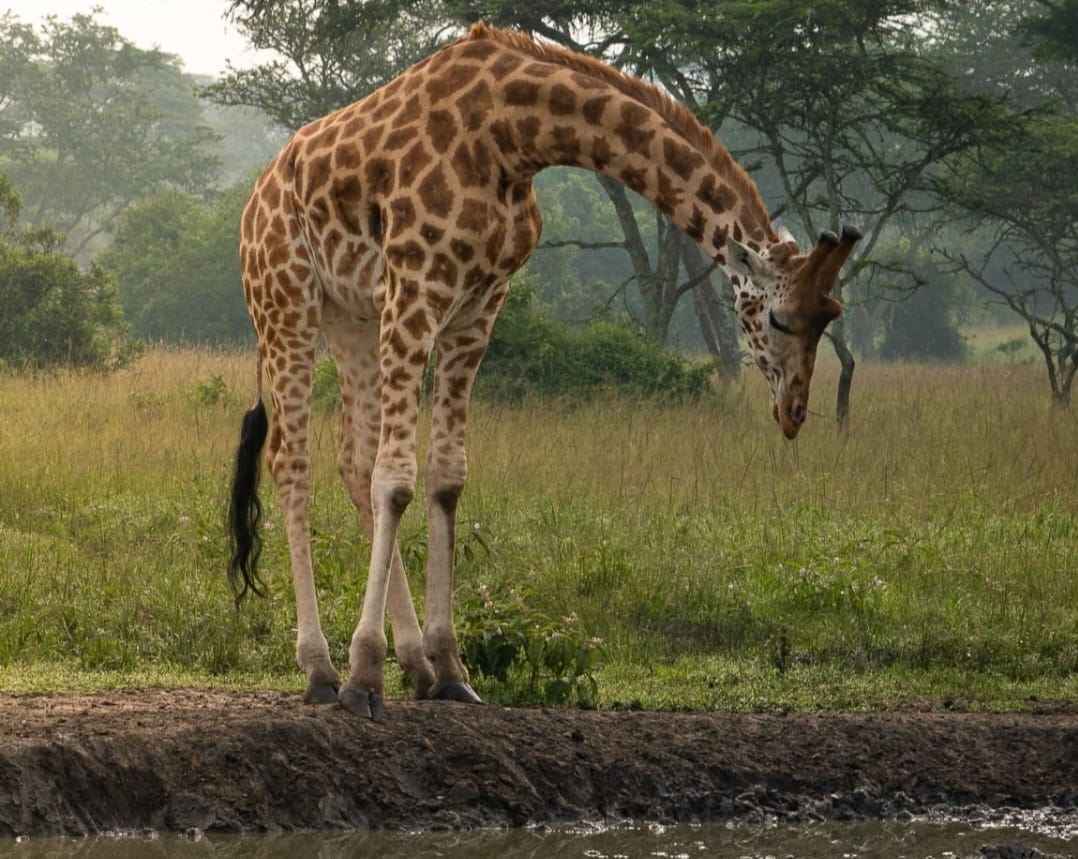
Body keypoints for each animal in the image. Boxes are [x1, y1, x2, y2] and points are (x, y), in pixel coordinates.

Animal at [228, 22, 861, 718]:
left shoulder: (478, 307)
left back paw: (412, 663)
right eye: (779, 320)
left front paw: (449, 668)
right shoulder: (417, 290)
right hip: (286, 303)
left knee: (351, 457)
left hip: (352, 318)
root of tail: (255, 198)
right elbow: (396, 481)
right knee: (292, 461)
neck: (514, 137)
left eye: (832, 316)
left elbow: (445, 478)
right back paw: (318, 669)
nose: (794, 413)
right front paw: (363, 677)